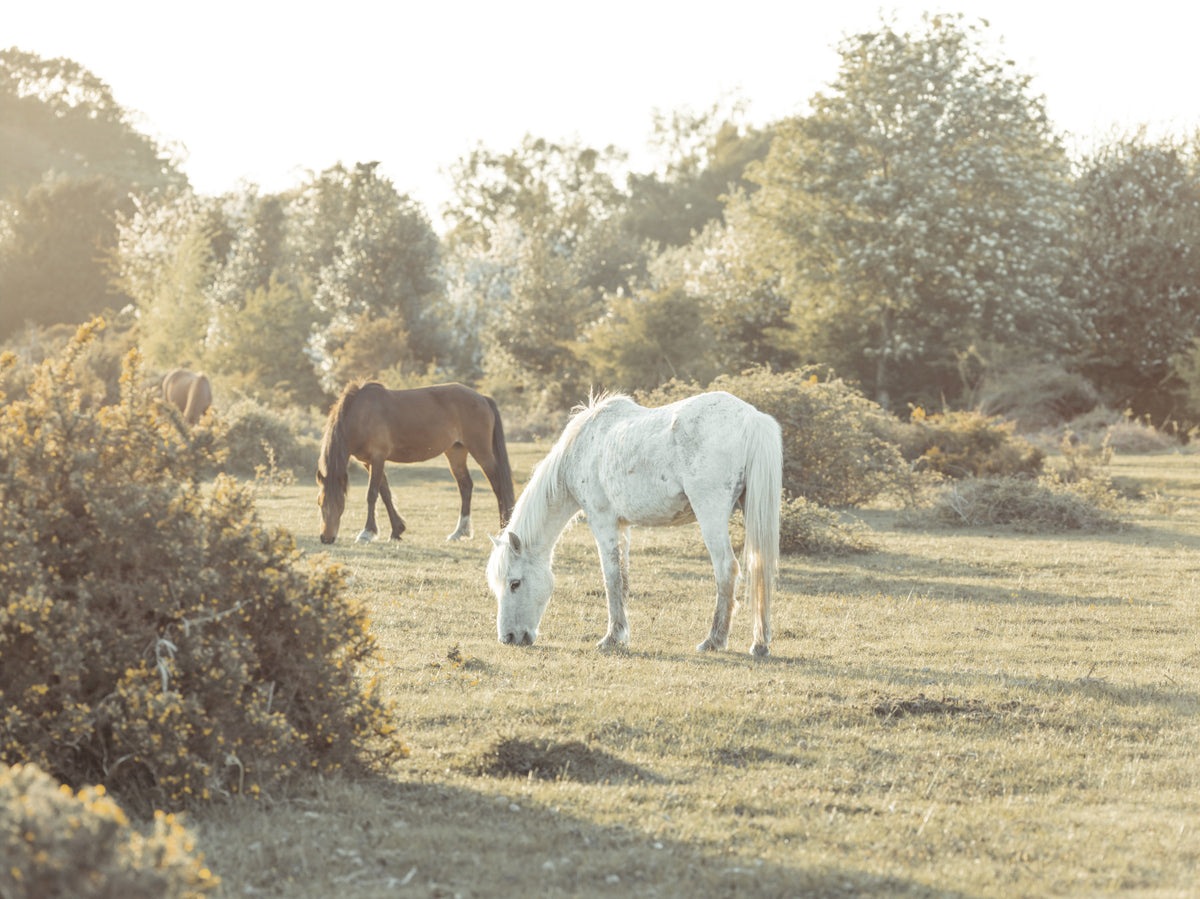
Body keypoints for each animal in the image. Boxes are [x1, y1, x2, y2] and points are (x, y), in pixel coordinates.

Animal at [316, 381, 515, 544]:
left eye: (341, 504)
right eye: (320, 503)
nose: (326, 538)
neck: (361, 414)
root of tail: (483, 398)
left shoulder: (378, 458)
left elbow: (372, 494)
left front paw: (367, 533)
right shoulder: (368, 462)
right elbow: (385, 493)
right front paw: (397, 530)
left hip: (481, 451)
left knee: (498, 485)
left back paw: (502, 528)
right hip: (456, 452)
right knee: (465, 486)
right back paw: (459, 532)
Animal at [487, 391, 782, 656]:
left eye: (515, 583)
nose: (508, 638)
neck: (581, 449)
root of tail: (752, 418)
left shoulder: (603, 522)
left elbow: (612, 578)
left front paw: (611, 638)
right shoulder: (622, 526)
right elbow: (623, 578)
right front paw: (621, 634)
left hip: (710, 513)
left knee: (726, 569)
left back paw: (713, 641)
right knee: (760, 566)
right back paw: (760, 644)